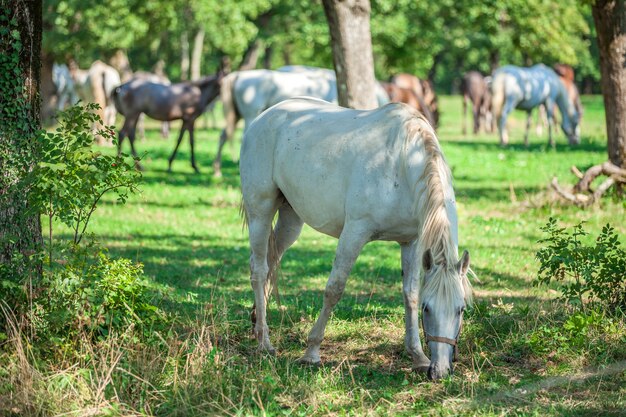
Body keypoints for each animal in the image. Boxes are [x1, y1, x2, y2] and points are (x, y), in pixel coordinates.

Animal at [241, 97, 470, 380]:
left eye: (461, 309)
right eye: (428, 308)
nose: (440, 371)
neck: (402, 161)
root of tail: (265, 116)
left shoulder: (412, 242)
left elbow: (410, 294)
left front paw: (417, 355)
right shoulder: (354, 232)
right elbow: (334, 289)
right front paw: (311, 352)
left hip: (290, 219)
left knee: (272, 260)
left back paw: (256, 323)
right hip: (260, 212)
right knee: (259, 269)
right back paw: (265, 341)